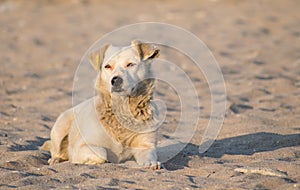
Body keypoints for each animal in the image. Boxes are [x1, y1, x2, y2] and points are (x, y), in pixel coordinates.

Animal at [42, 40, 162, 169]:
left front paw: (151, 164)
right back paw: (55, 160)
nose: (115, 80)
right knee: (55, 149)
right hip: (61, 126)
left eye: (130, 64)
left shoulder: (146, 145)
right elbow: (101, 153)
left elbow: (149, 156)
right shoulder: (82, 146)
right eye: (107, 66)